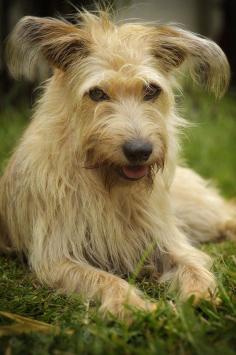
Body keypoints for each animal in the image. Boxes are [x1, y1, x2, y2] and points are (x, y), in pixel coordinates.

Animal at [0, 9, 236, 320]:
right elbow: (104, 279)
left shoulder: (166, 239)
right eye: (97, 93)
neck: (107, 183)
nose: (139, 151)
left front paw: (201, 296)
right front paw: (133, 306)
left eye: (151, 90)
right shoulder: (58, 255)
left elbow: (193, 265)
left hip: (196, 212)